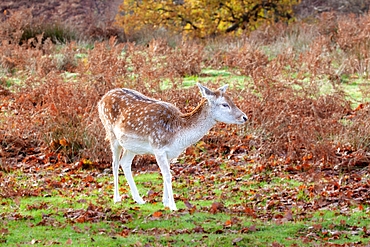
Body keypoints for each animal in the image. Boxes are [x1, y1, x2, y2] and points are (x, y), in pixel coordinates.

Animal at [99, 83, 249, 210]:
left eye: (232, 101)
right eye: (224, 104)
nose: (244, 117)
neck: (177, 136)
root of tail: (101, 99)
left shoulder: (170, 153)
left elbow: (166, 174)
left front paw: (165, 202)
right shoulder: (158, 147)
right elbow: (167, 175)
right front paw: (173, 206)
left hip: (131, 146)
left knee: (125, 163)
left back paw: (139, 199)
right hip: (111, 134)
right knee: (114, 163)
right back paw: (117, 198)